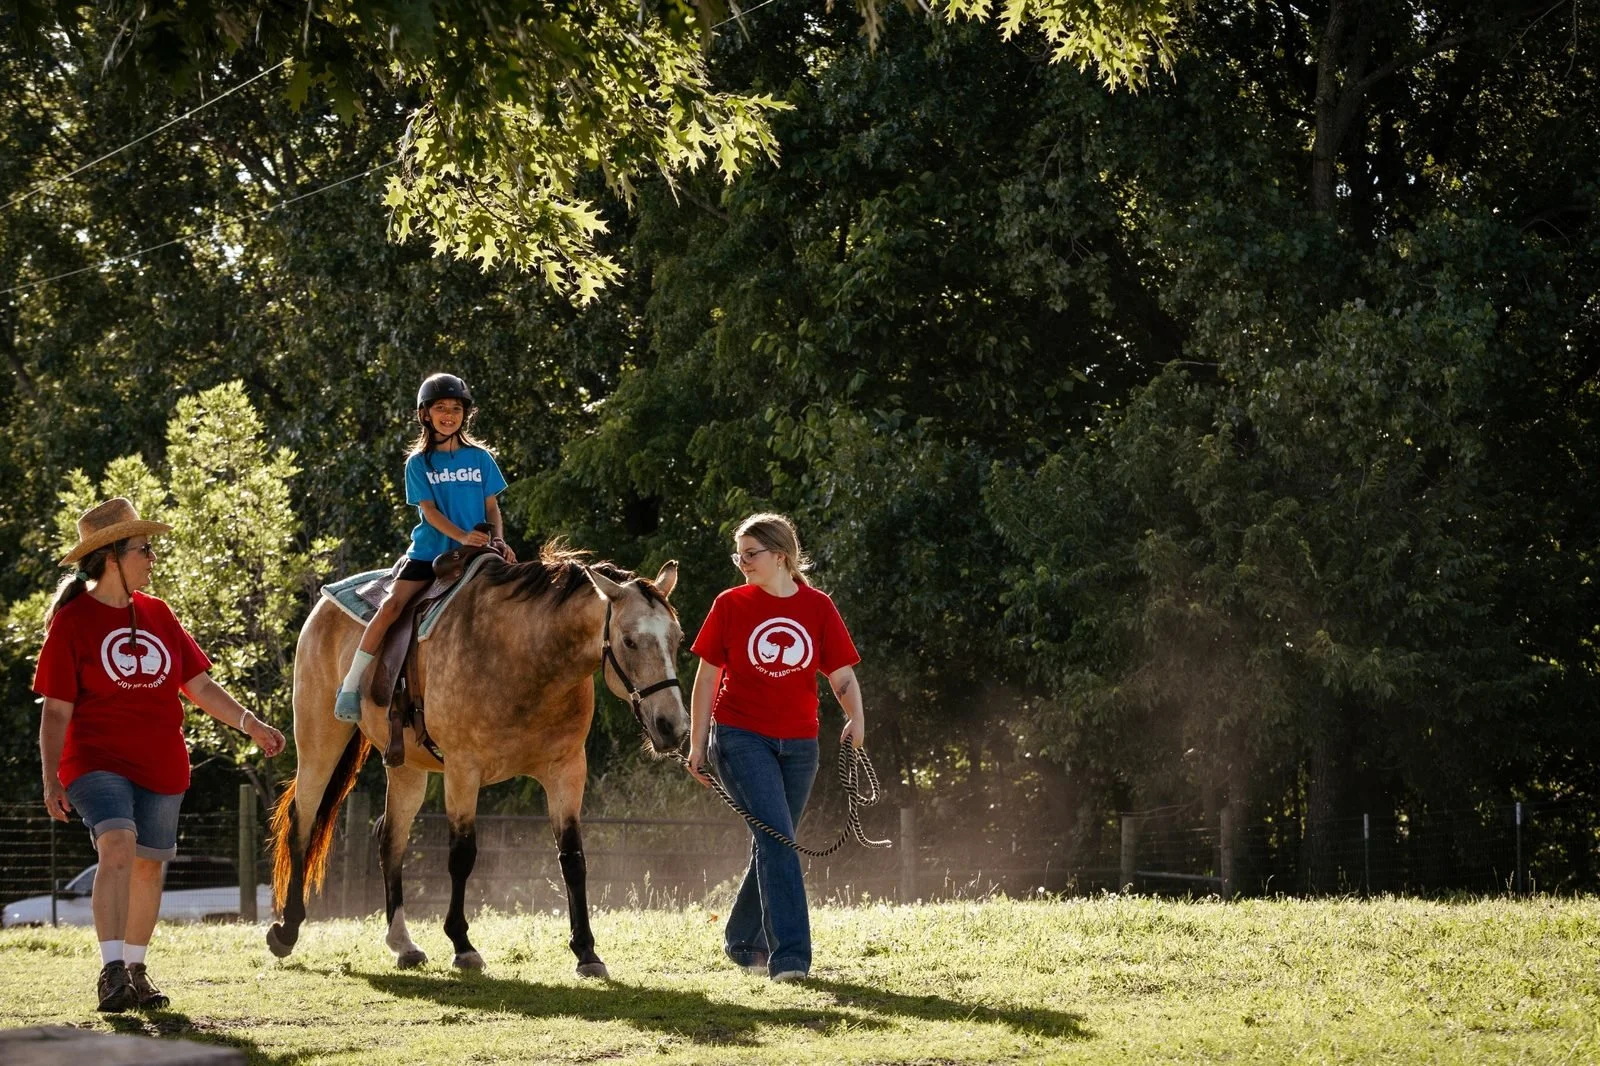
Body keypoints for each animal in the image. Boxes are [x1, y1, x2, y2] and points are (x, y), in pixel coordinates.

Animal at [264, 545, 687, 976]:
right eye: (630, 641)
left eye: (678, 639)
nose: (673, 726)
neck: (525, 655)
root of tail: (321, 610)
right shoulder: (462, 771)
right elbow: (461, 855)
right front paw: (462, 944)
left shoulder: (567, 770)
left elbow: (573, 857)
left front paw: (586, 951)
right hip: (320, 743)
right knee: (302, 821)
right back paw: (288, 929)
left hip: (407, 769)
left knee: (390, 839)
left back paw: (402, 943)